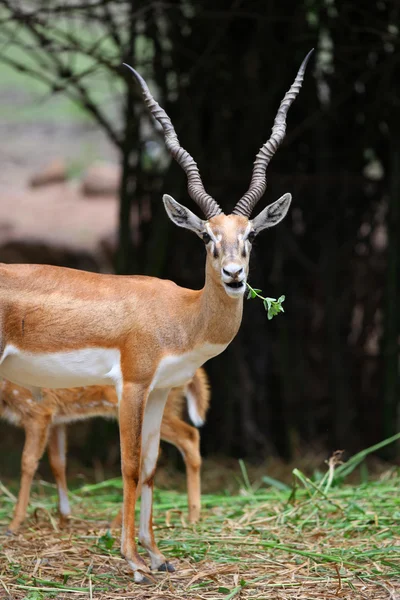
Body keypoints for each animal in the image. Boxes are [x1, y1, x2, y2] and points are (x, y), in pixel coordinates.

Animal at [0, 368, 211, 532]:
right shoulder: (56, 418)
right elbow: (57, 462)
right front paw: (64, 519)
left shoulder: (38, 411)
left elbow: (28, 462)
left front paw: (14, 524)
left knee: (189, 435)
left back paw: (192, 516)